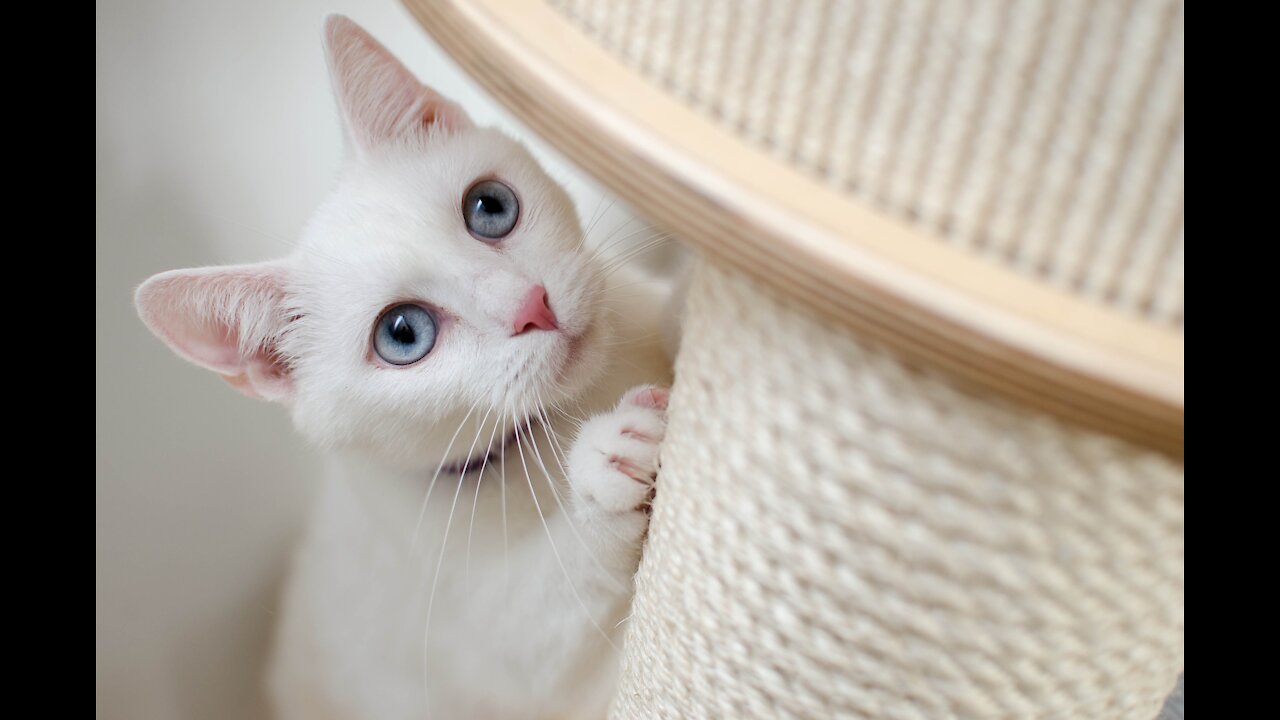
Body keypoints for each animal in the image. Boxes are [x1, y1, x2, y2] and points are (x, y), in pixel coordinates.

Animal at [137, 15, 680, 712]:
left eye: (490, 207)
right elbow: (539, 624)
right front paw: (608, 465)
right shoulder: (469, 632)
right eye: (402, 334)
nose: (530, 305)